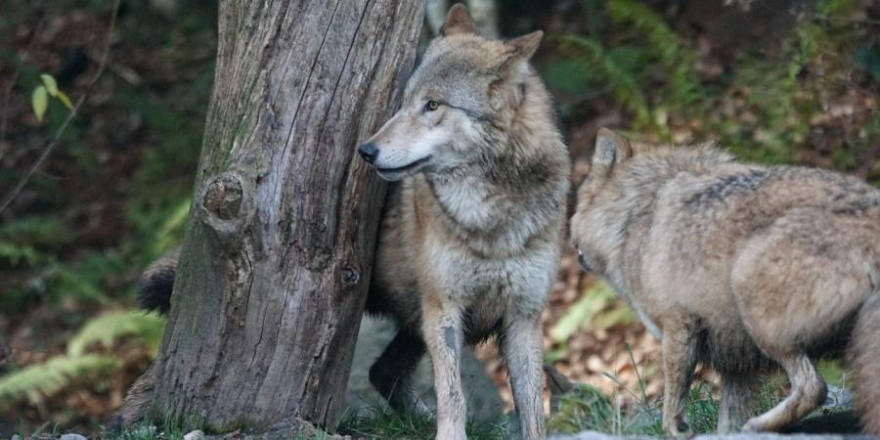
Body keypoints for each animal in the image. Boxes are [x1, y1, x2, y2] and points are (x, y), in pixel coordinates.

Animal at [568, 129, 880, 438]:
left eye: (579, 200)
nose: (571, 241)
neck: (636, 212)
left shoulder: (678, 326)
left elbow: (672, 404)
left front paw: (677, 428)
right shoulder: (736, 365)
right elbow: (726, 422)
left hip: (753, 302)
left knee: (813, 388)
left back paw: (757, 425)